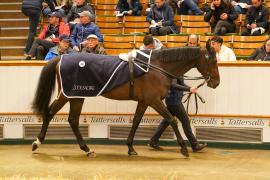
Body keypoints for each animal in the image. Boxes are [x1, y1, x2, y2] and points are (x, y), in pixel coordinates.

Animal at [31, 44, 219, 158]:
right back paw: (37, 142)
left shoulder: (144, 101)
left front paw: (130, 147)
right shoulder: (154, 100)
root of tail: (61, 58)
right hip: (69, 95)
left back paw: (86, 149)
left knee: (72, 120)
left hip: (76, 97)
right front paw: (184, 148)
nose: (216, 82)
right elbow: (171, 119)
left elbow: (136, 121)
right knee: (51, 113)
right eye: (213, 60)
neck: (157, 67)